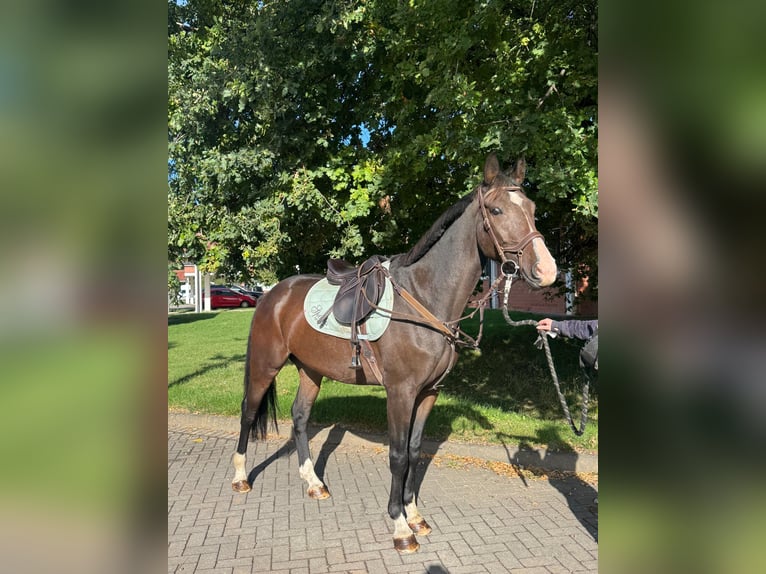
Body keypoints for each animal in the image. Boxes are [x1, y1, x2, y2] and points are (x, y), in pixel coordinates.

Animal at [231, 154, 558, 553]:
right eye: (496, 210)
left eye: (532, 209)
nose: (546, 270)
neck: (424, 297)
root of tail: (271, 295)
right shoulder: (400, 392)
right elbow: (398, 455)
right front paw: (400, 527)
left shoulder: (429, 392)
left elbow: (415, 451)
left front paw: (415, 515)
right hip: (265, 366)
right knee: (248, 414)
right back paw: (241, 478)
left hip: (311, 370)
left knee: (300, 418)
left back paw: (314, 484)